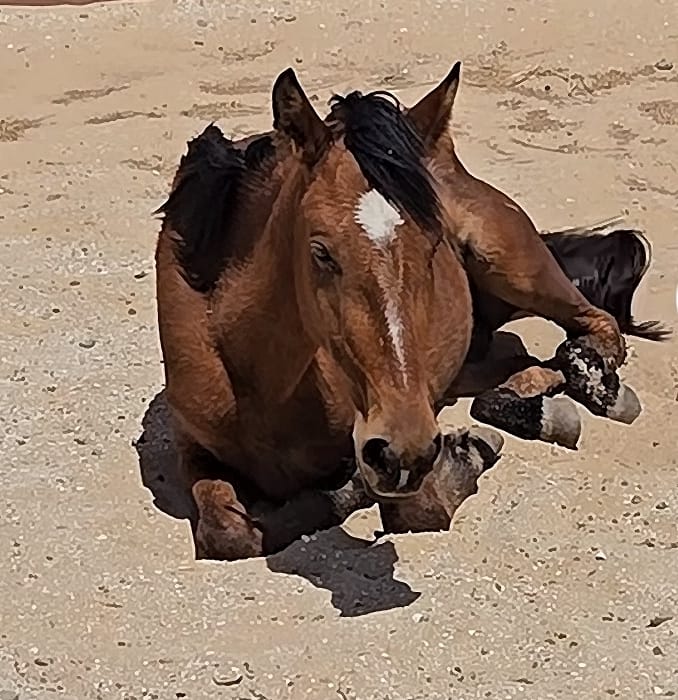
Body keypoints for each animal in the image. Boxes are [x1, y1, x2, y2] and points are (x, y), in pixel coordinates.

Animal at [153, 67, 668, 560]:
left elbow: (416, 509)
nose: (404, 450)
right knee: (514, 368)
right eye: (320, 252)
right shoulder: (194, 449)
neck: (253, 375)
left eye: (433, 242)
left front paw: (459, 460)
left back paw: (591, 380)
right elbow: (228, 532)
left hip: (512, 264)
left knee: (596, 325)